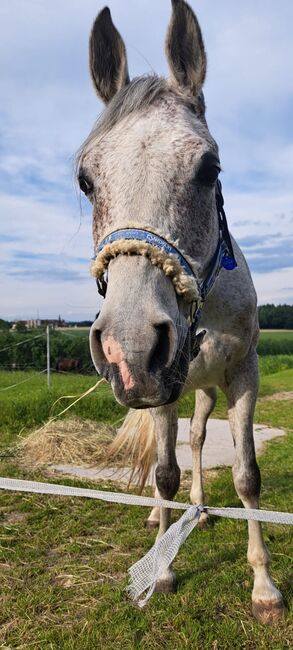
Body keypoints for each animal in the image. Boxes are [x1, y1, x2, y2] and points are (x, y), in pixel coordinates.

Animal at [76, 0, 284, 620]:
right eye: (86, 179)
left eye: (209, 168)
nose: (130, 346)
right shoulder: (158, 386)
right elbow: (163, 472)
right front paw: (162, 570)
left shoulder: (242, 375)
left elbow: (246, 476)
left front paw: (265, 586)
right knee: (167, 456)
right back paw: (157, 518)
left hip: (204, 386)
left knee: (195, 440)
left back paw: (200, 509)